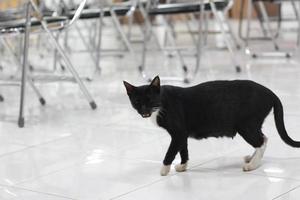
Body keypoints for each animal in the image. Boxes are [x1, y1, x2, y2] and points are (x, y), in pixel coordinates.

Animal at [123, 76, 298, 176]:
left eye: (150, 100)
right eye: (137, 102)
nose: (144, 111)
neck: (162, 102)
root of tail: (271, 93)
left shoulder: (178, 133)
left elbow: (170, 152)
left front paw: (164, 170)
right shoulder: (182, 134)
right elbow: (183, 150)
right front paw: (183, 166)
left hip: (246, 125)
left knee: (262, 141)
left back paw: (252, 165)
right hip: (251, 126)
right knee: (262, 138)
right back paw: (251, 158)